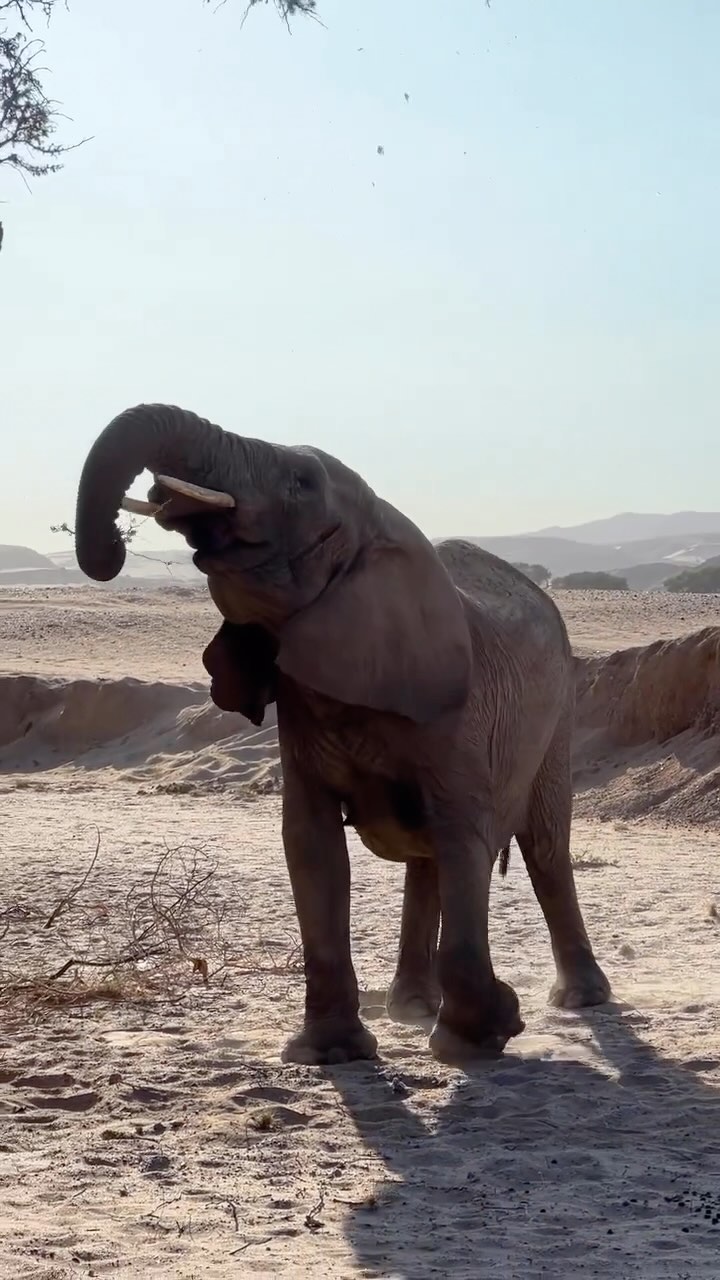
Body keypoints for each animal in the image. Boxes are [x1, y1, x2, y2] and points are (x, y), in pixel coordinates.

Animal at [74, 403, 611, 1064]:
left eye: (301, 482)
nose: (111, 550)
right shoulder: (300, 703)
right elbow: (311, 845)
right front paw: (330, 1053)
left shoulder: (461, 714)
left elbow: (466, 832)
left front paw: (481, 1036)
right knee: (430, 857)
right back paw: (410, 1007)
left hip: (558, 713)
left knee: (543, 846)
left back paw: (578, 999)